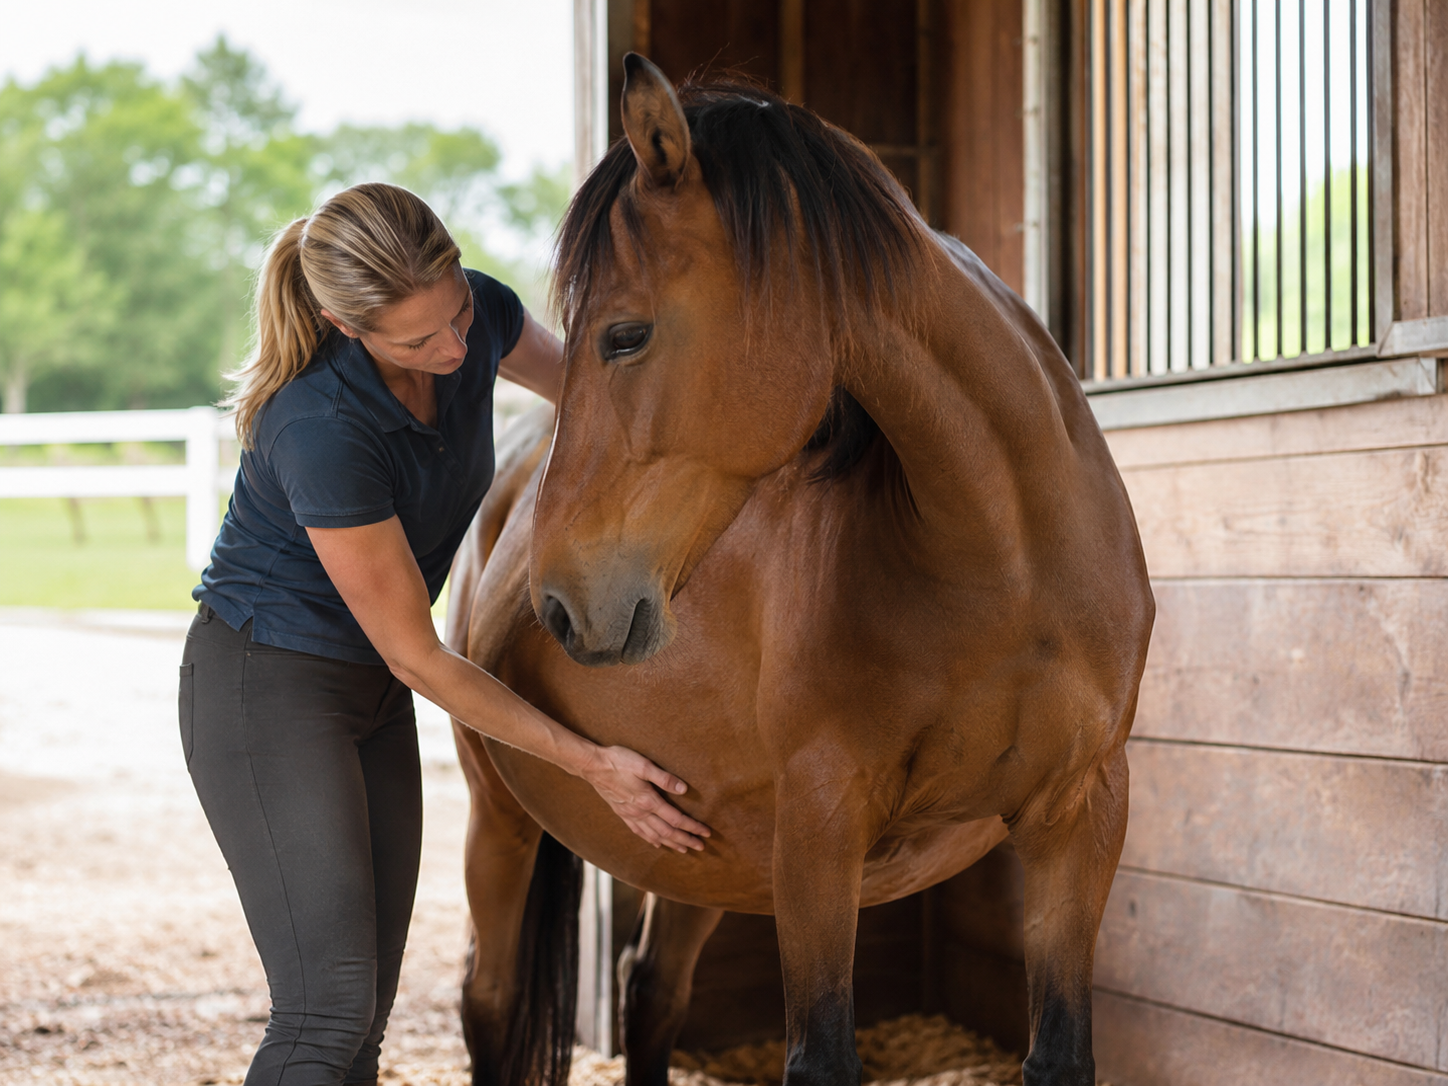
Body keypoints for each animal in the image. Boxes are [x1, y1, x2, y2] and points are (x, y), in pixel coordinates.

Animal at [445, 55, 1153, 1086]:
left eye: (625, 334)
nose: (561, 605)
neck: (1010, 570)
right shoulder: (821, 830)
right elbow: (821, 1054)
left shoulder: (1081, 817)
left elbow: (1061, 1053)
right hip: (500, 819)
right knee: (490, 1003)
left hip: (697, 850)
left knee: (649, 991)